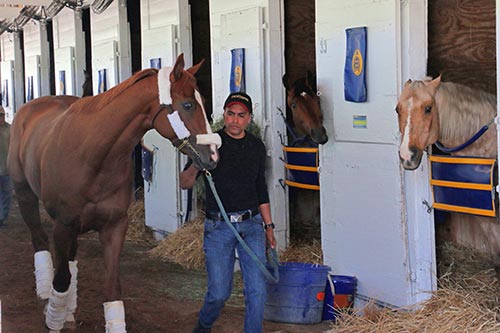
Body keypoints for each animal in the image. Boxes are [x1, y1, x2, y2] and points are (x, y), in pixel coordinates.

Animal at [6, 53, 220, 330]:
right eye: (187, 105)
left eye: (203, 102)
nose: (213, 156)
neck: (92, 155)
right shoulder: (63, 224)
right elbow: (61, 279)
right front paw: (54, 320)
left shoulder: (114, 226)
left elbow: (111, 289)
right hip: (26, 196)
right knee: (40, 242)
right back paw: (46, 295)